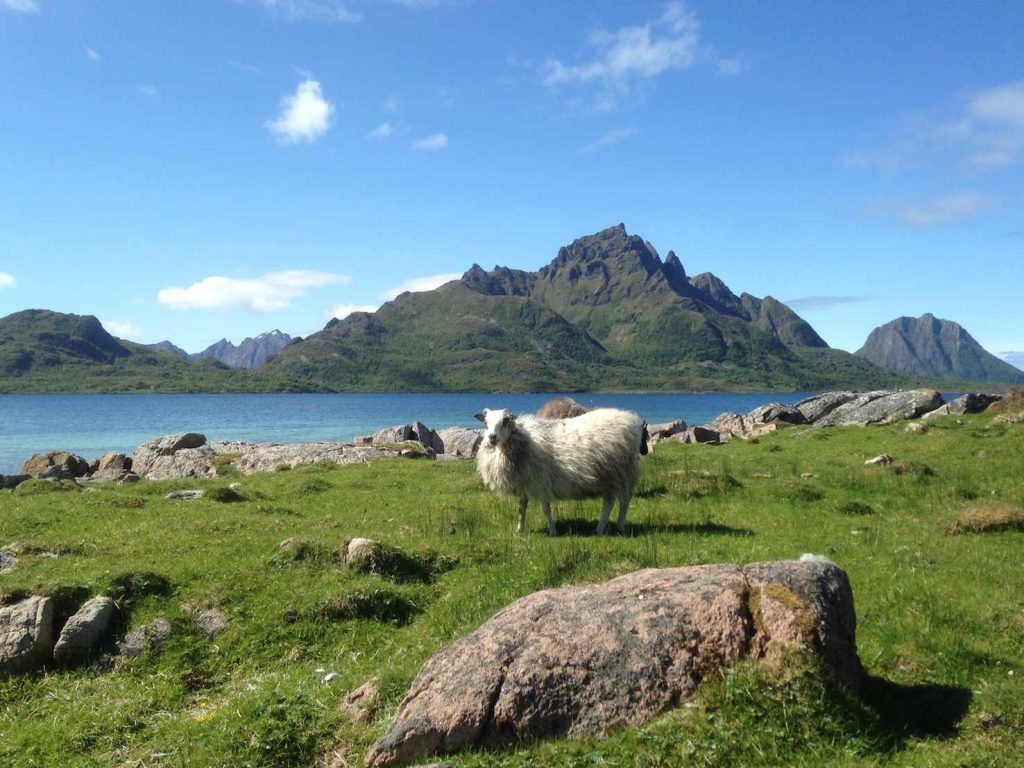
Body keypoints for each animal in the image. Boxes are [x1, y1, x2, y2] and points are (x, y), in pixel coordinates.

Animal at [474, 406, 646, 536]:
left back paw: (618, 527)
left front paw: (553, 531)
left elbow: (546, 509)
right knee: (609, 503)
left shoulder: (541, 482)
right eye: (486, 423)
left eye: (504, 422)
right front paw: (519, 530)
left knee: (623, 501)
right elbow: (521, 508)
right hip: (607, 476)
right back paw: (600, 529)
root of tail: (630, 420)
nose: (492, 437)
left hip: (623, 472)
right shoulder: (526, 482)